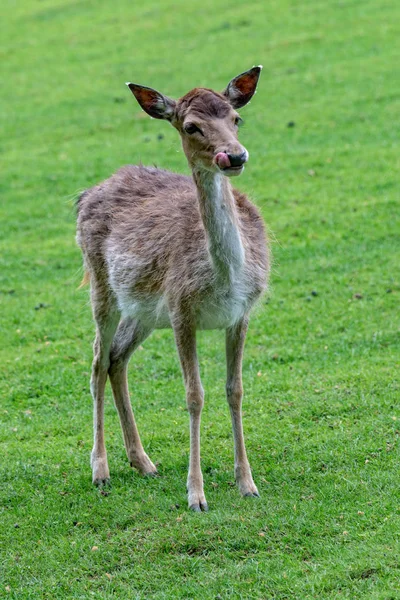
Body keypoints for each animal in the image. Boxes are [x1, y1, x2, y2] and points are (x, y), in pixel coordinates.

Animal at [76, 67, 268, 510]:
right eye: (191, 126)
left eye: (236, 118)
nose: (234, 156)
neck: (224, 278)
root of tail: (85, 195)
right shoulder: (182, 312)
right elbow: (194, 395)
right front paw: (196, 494)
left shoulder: (242, 314)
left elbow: (235, 390)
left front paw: (247, 484)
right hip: (102, 287)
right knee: (96, 360)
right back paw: (101, 469)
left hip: (143, 311)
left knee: (116, 359)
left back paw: (143, 462)